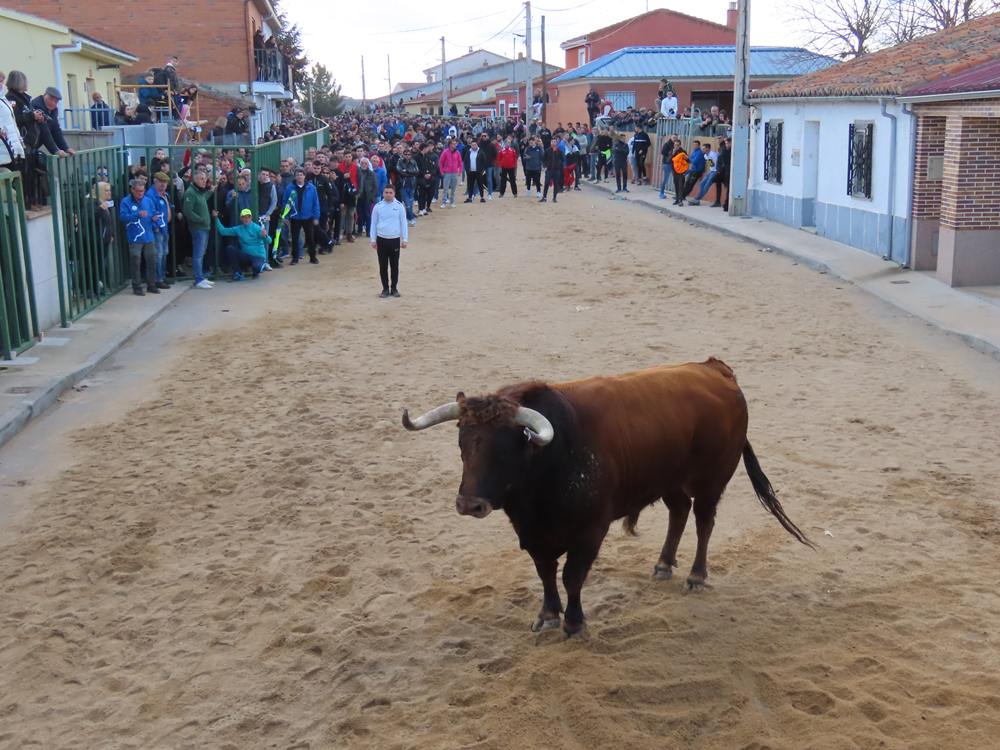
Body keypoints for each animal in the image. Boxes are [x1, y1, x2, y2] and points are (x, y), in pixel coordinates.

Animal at [402, 362, 816, 636]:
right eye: (462, 441)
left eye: (505, 447)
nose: (469, 505)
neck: (553, 459)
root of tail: (716, 370)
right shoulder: (534, 535)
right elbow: (546, 573)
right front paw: (548, 615)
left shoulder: (589, 532)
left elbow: (571, 576)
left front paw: (574, 623)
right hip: (670, 479)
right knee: (679, 512)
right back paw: (663, 564)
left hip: (711, 480)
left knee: (703, 521)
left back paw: (696, 575)